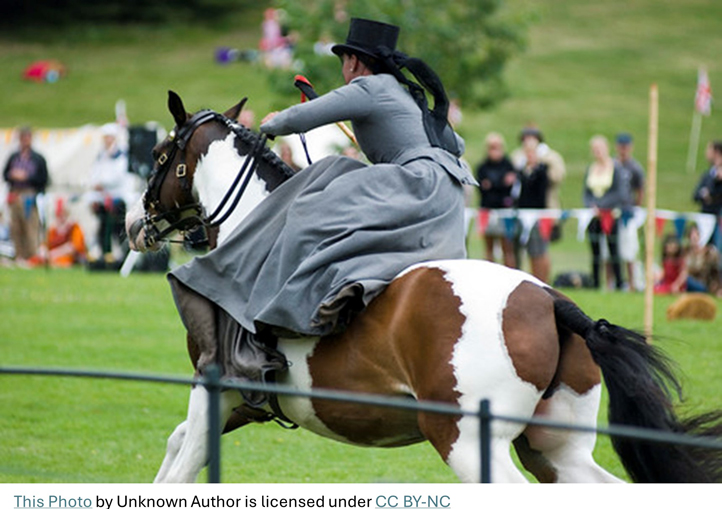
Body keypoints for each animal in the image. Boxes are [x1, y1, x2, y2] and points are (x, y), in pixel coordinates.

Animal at [125, 91, 722, 483]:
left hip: (468, 444)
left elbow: (180, 470)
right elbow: (175, 448)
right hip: (556, 452)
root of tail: (552, 301)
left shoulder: (213, 390)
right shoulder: (239, 404)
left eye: (158, 156)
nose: (136, 224)